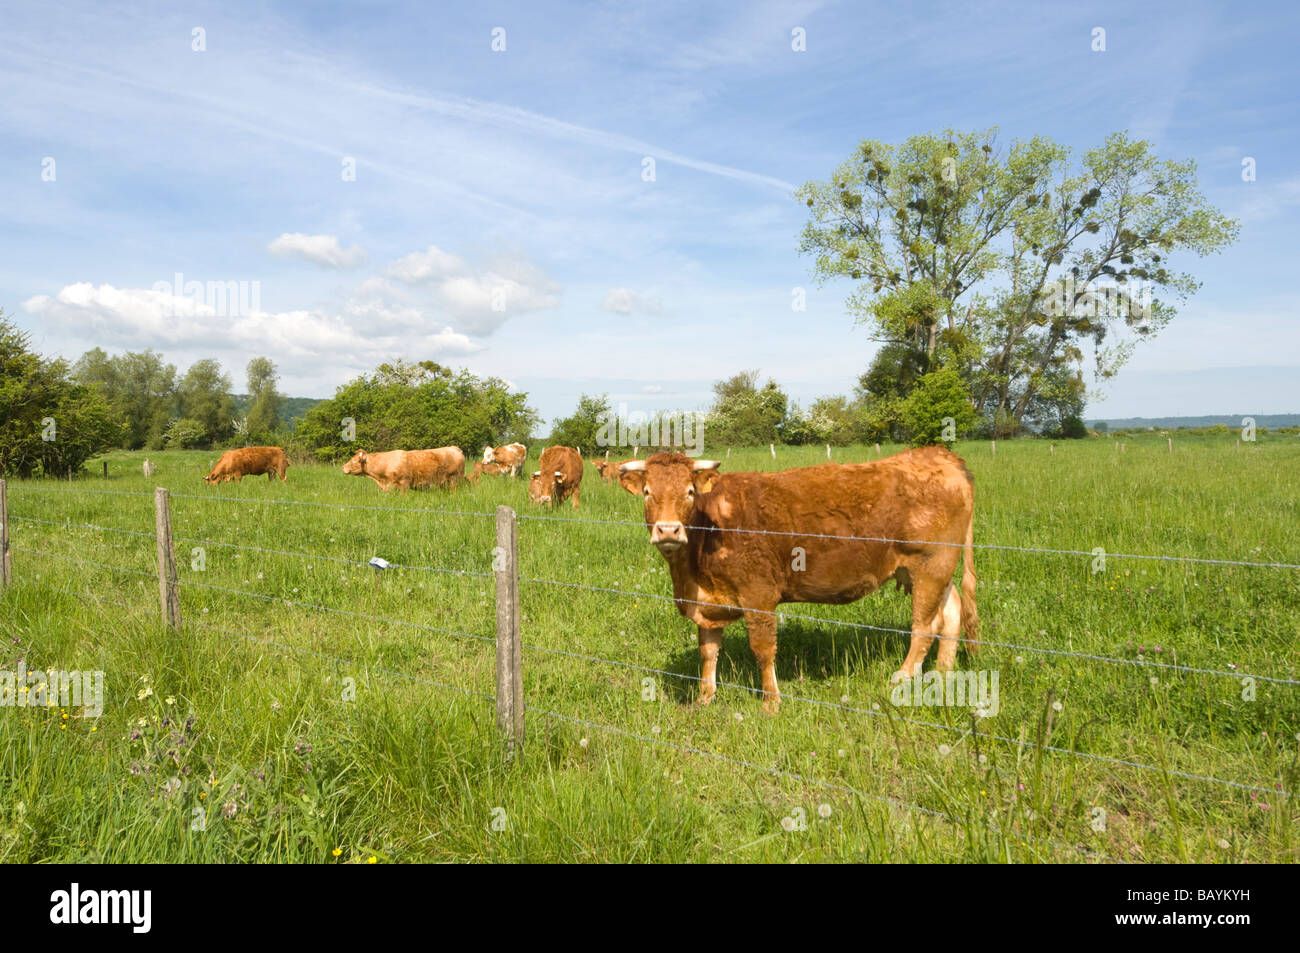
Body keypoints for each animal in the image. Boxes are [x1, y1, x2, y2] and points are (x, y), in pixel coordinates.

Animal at [618, 449, 977, 712]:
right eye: (648, 492)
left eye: (690, 492)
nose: (668, 530)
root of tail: (938, 454)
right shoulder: (708, 601)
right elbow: (708, 652)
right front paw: (704, 699)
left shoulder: (759, 595)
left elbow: (763, 650)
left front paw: (771, 703)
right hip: (930, 570)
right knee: (951, 614)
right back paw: (942, 676)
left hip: (931, 563)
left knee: (925, 627)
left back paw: (900, 680)